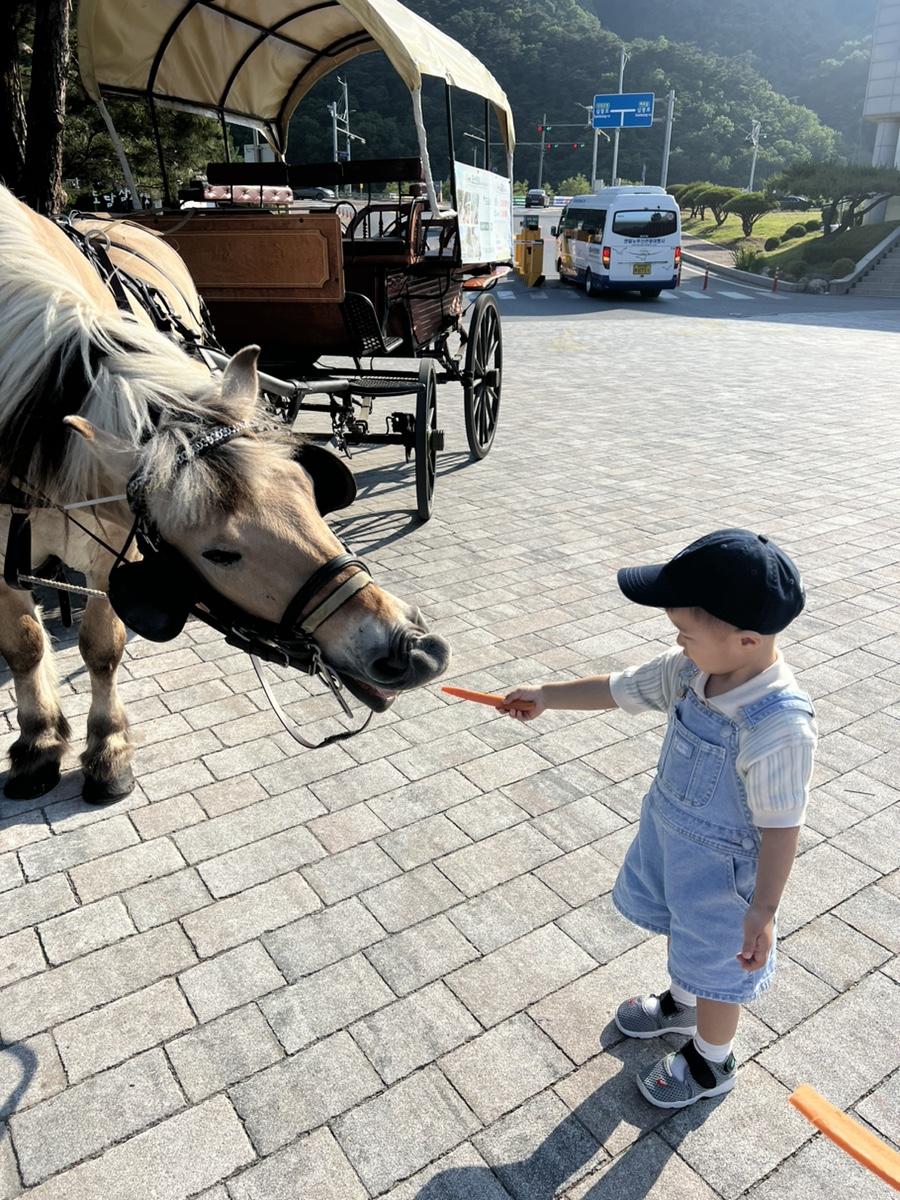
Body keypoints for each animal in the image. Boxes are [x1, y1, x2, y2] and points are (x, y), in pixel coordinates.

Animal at [0, 184, 451, 806]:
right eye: (218, 554)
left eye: (312, 494)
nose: (414, 648)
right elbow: (23, 644)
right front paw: (39, 744)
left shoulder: (113, 540)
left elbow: (101, 643)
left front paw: (108, 751)